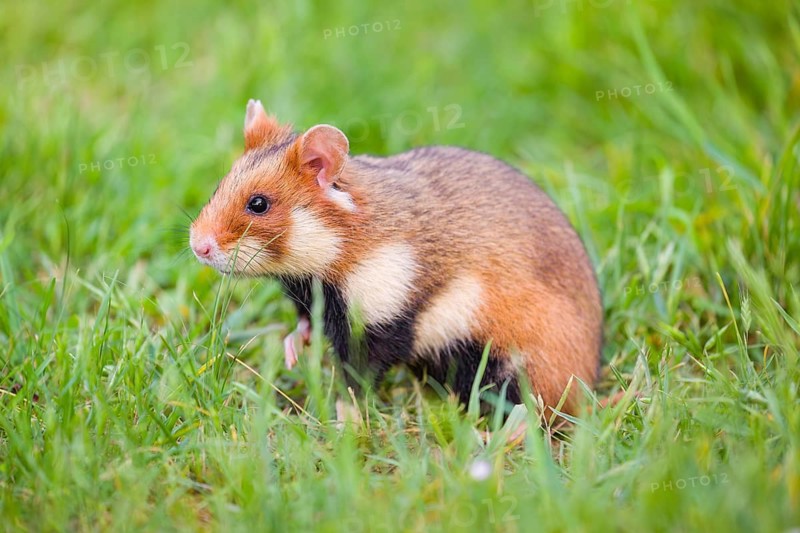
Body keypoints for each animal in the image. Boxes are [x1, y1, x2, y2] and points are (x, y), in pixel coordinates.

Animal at [190, 99, 602, 414]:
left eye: (258, 204)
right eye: (221, 183)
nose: (197, 246)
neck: (338, 249)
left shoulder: (379, 322)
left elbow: (356, 383)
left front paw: (345, 421)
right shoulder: (312, 298)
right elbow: (305, 324)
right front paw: (292, 352)